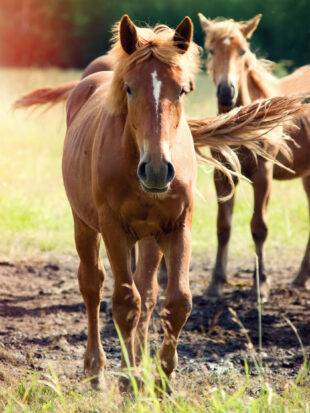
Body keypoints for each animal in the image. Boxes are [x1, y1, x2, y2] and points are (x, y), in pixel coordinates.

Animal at [199, 12, 310, 300]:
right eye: (211, 50)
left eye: (242, 51)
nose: (226, 92)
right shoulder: (223, 175)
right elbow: (223, 227)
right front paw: (216, 283)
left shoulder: (263, 175)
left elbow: (259, 228)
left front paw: (261, 285)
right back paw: (300, 278)